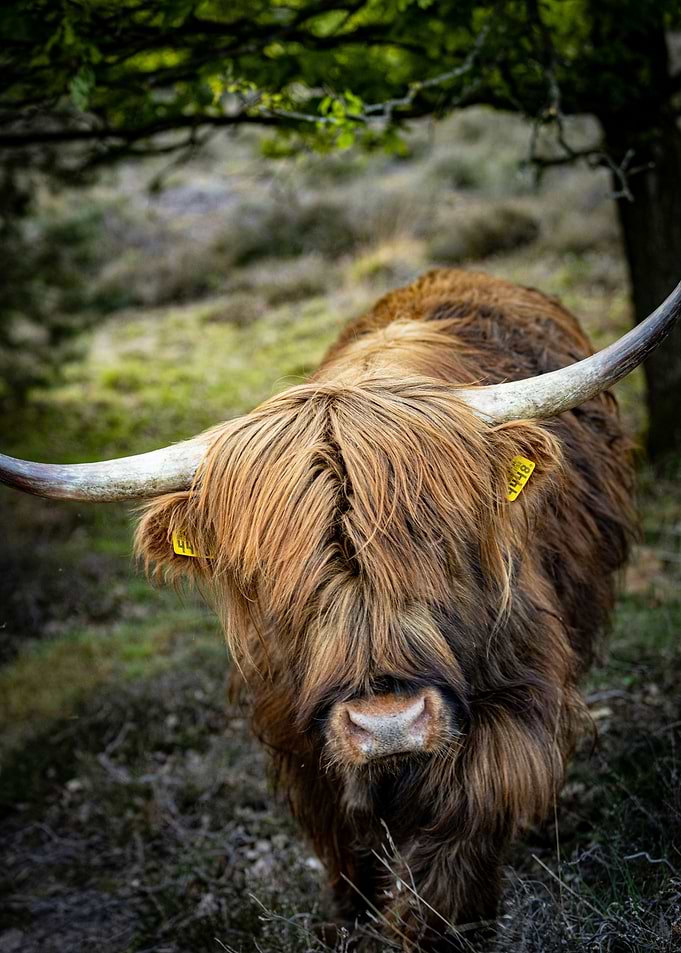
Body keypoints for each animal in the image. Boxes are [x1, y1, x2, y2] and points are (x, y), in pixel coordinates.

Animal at [2, 269, 680, 950]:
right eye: (277, 575)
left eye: (437, 541)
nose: (389, 724)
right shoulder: (294, 730)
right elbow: (344, 841)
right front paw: (349, 919)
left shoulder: (515, 703)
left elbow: (464, 827)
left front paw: (442, 928)